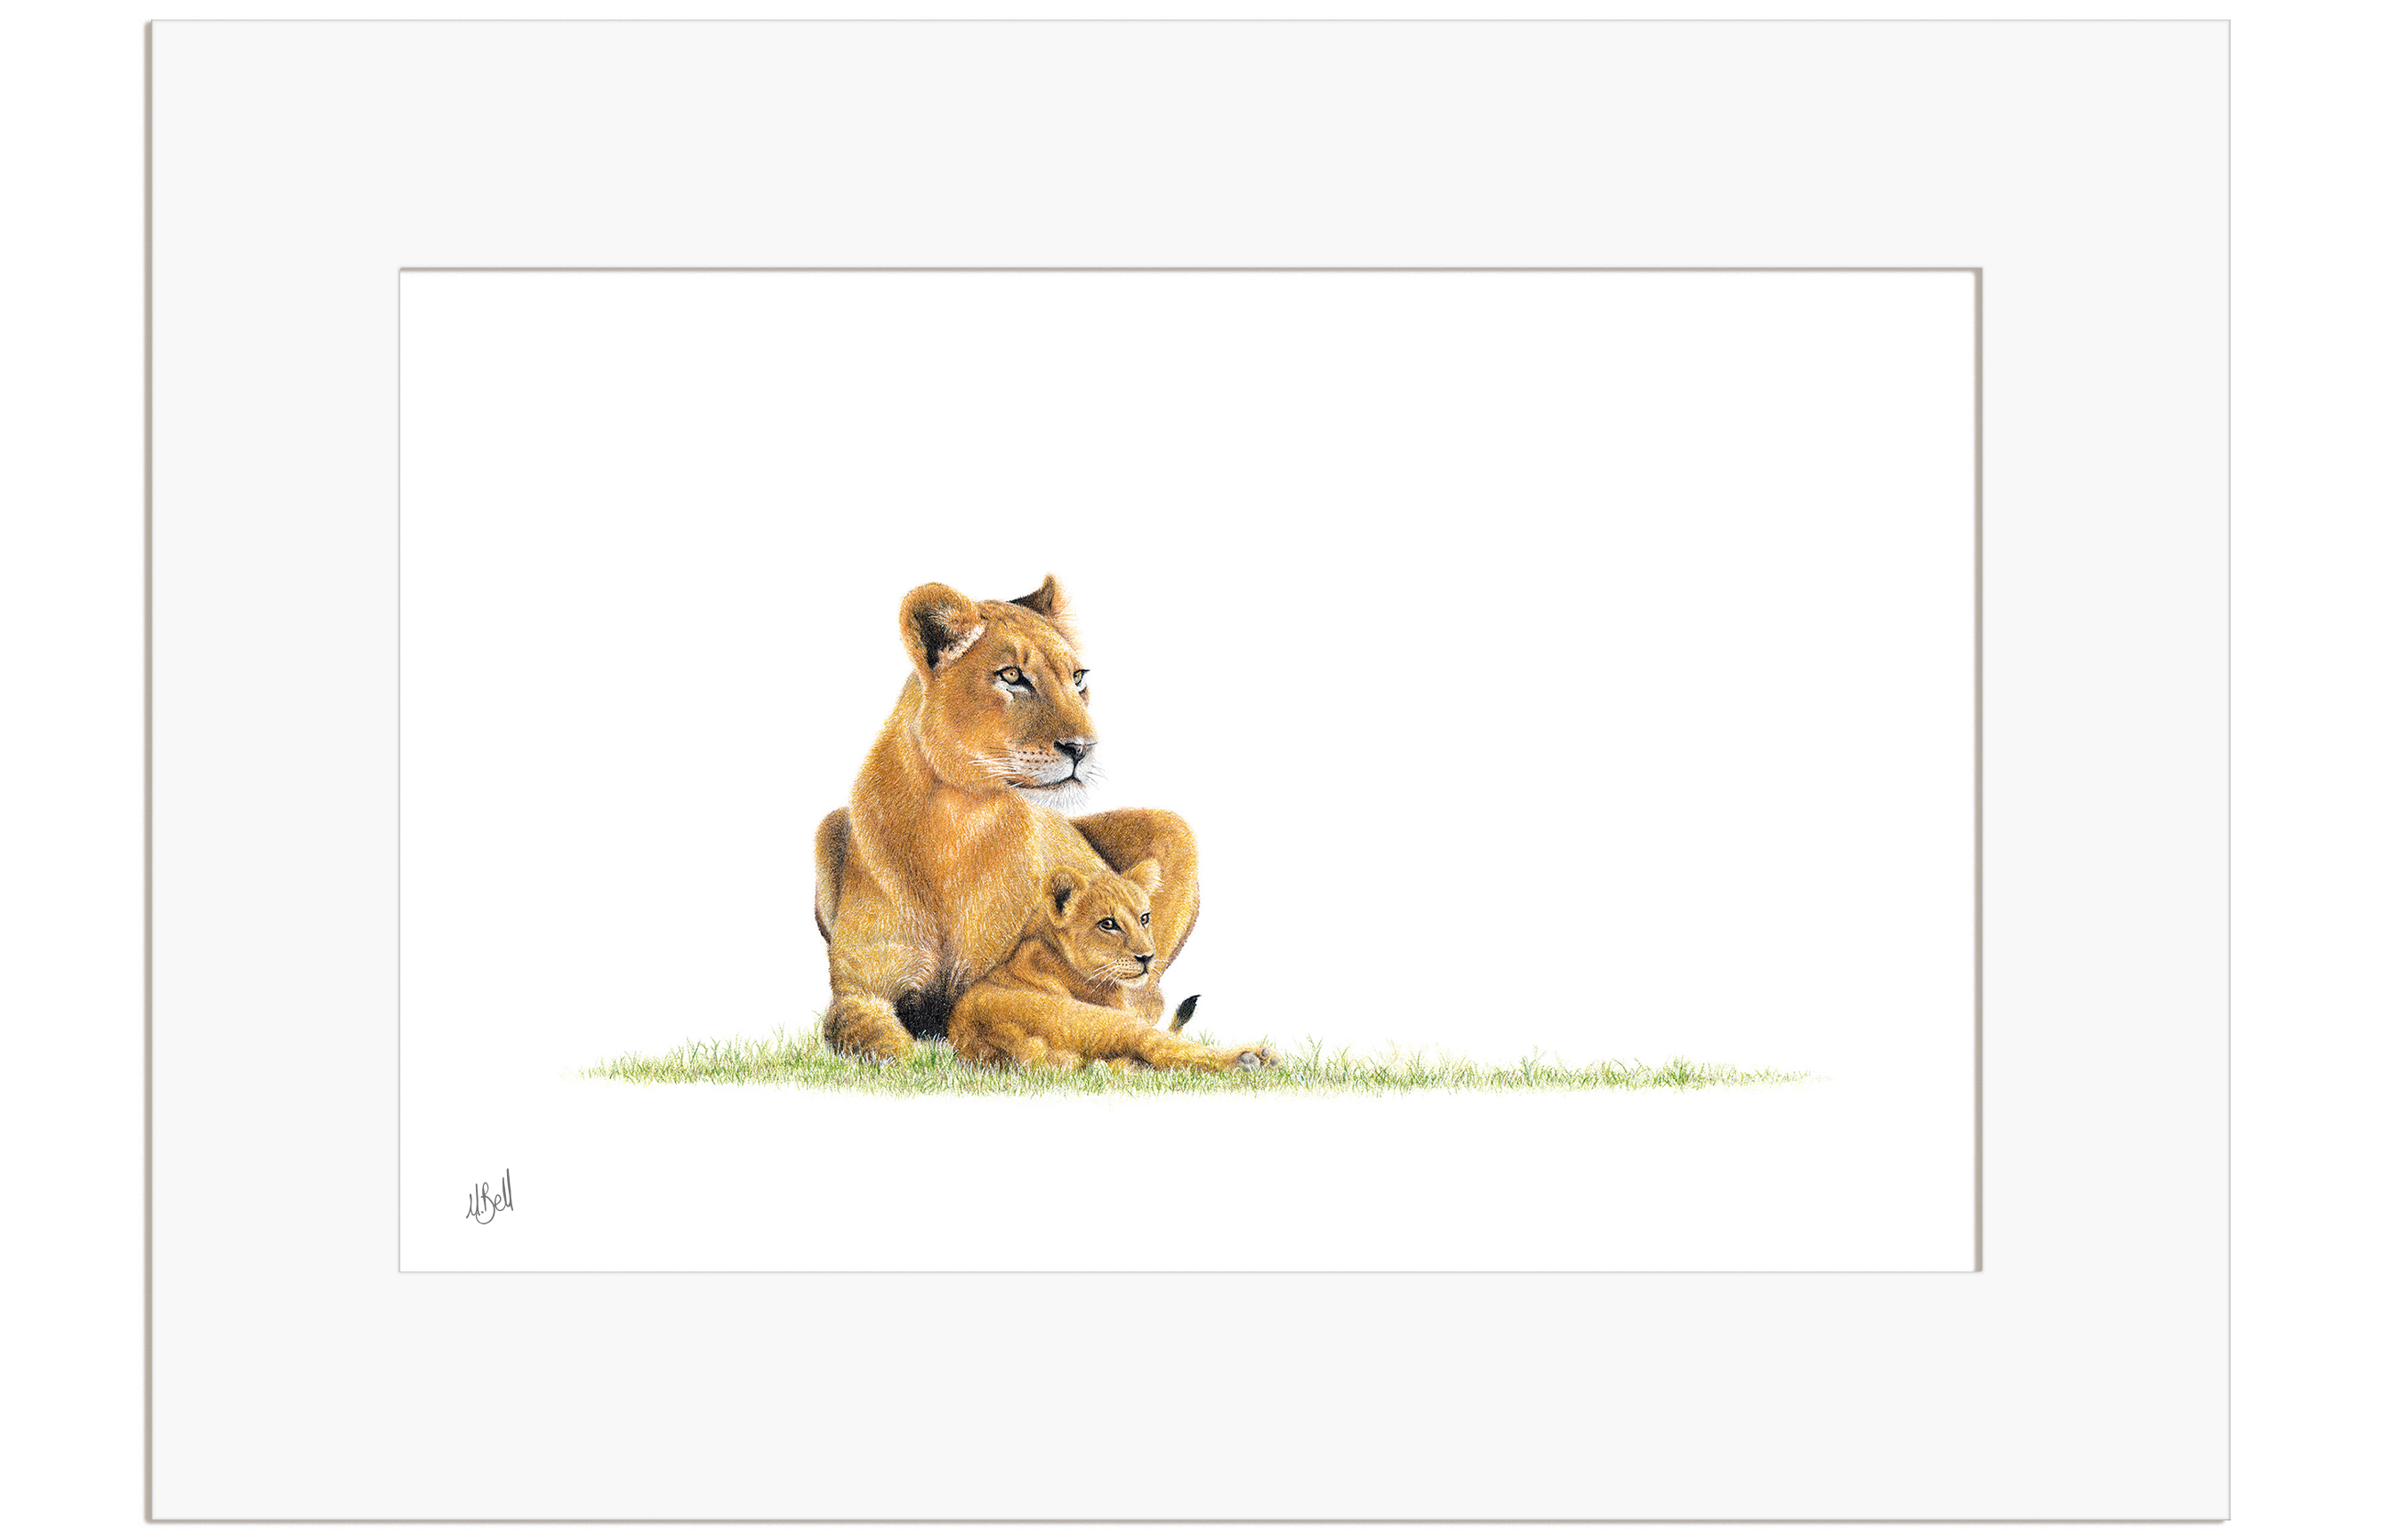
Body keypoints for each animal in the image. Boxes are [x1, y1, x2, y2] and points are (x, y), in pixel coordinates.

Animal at [813, 576, 1200, 1062]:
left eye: (1078, 678)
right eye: (1012, 676)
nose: (1084, 747)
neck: (955, 820)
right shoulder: (859, 990)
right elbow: (878, 1041)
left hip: (1173, 827)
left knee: (1151, 997)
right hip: (827, 825)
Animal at [949, 860, 1278, 1073]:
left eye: (1144, 918)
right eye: (1108, 924)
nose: (1147, 957)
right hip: (1107, 1022)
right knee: (1158, 1048)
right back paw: (1252, 1059)